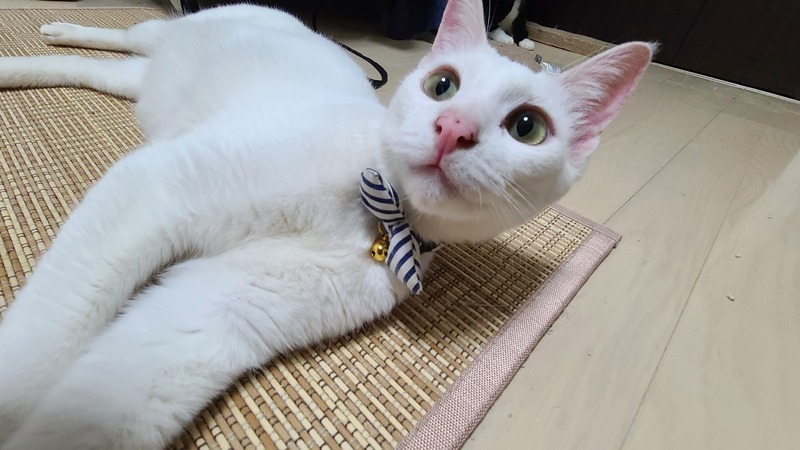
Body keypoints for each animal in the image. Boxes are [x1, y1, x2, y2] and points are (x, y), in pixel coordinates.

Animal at [0, 0, 652, 448]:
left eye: (527, 127)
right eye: (442, 85)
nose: (454, 128)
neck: (376, 217)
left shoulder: (216, 314)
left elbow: (104, 403)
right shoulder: (160, 189)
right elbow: (43, 339)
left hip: (144, 86)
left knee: (93, 71)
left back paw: (27, 64)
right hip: (161, 39)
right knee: (117, 34)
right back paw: (49, 34)